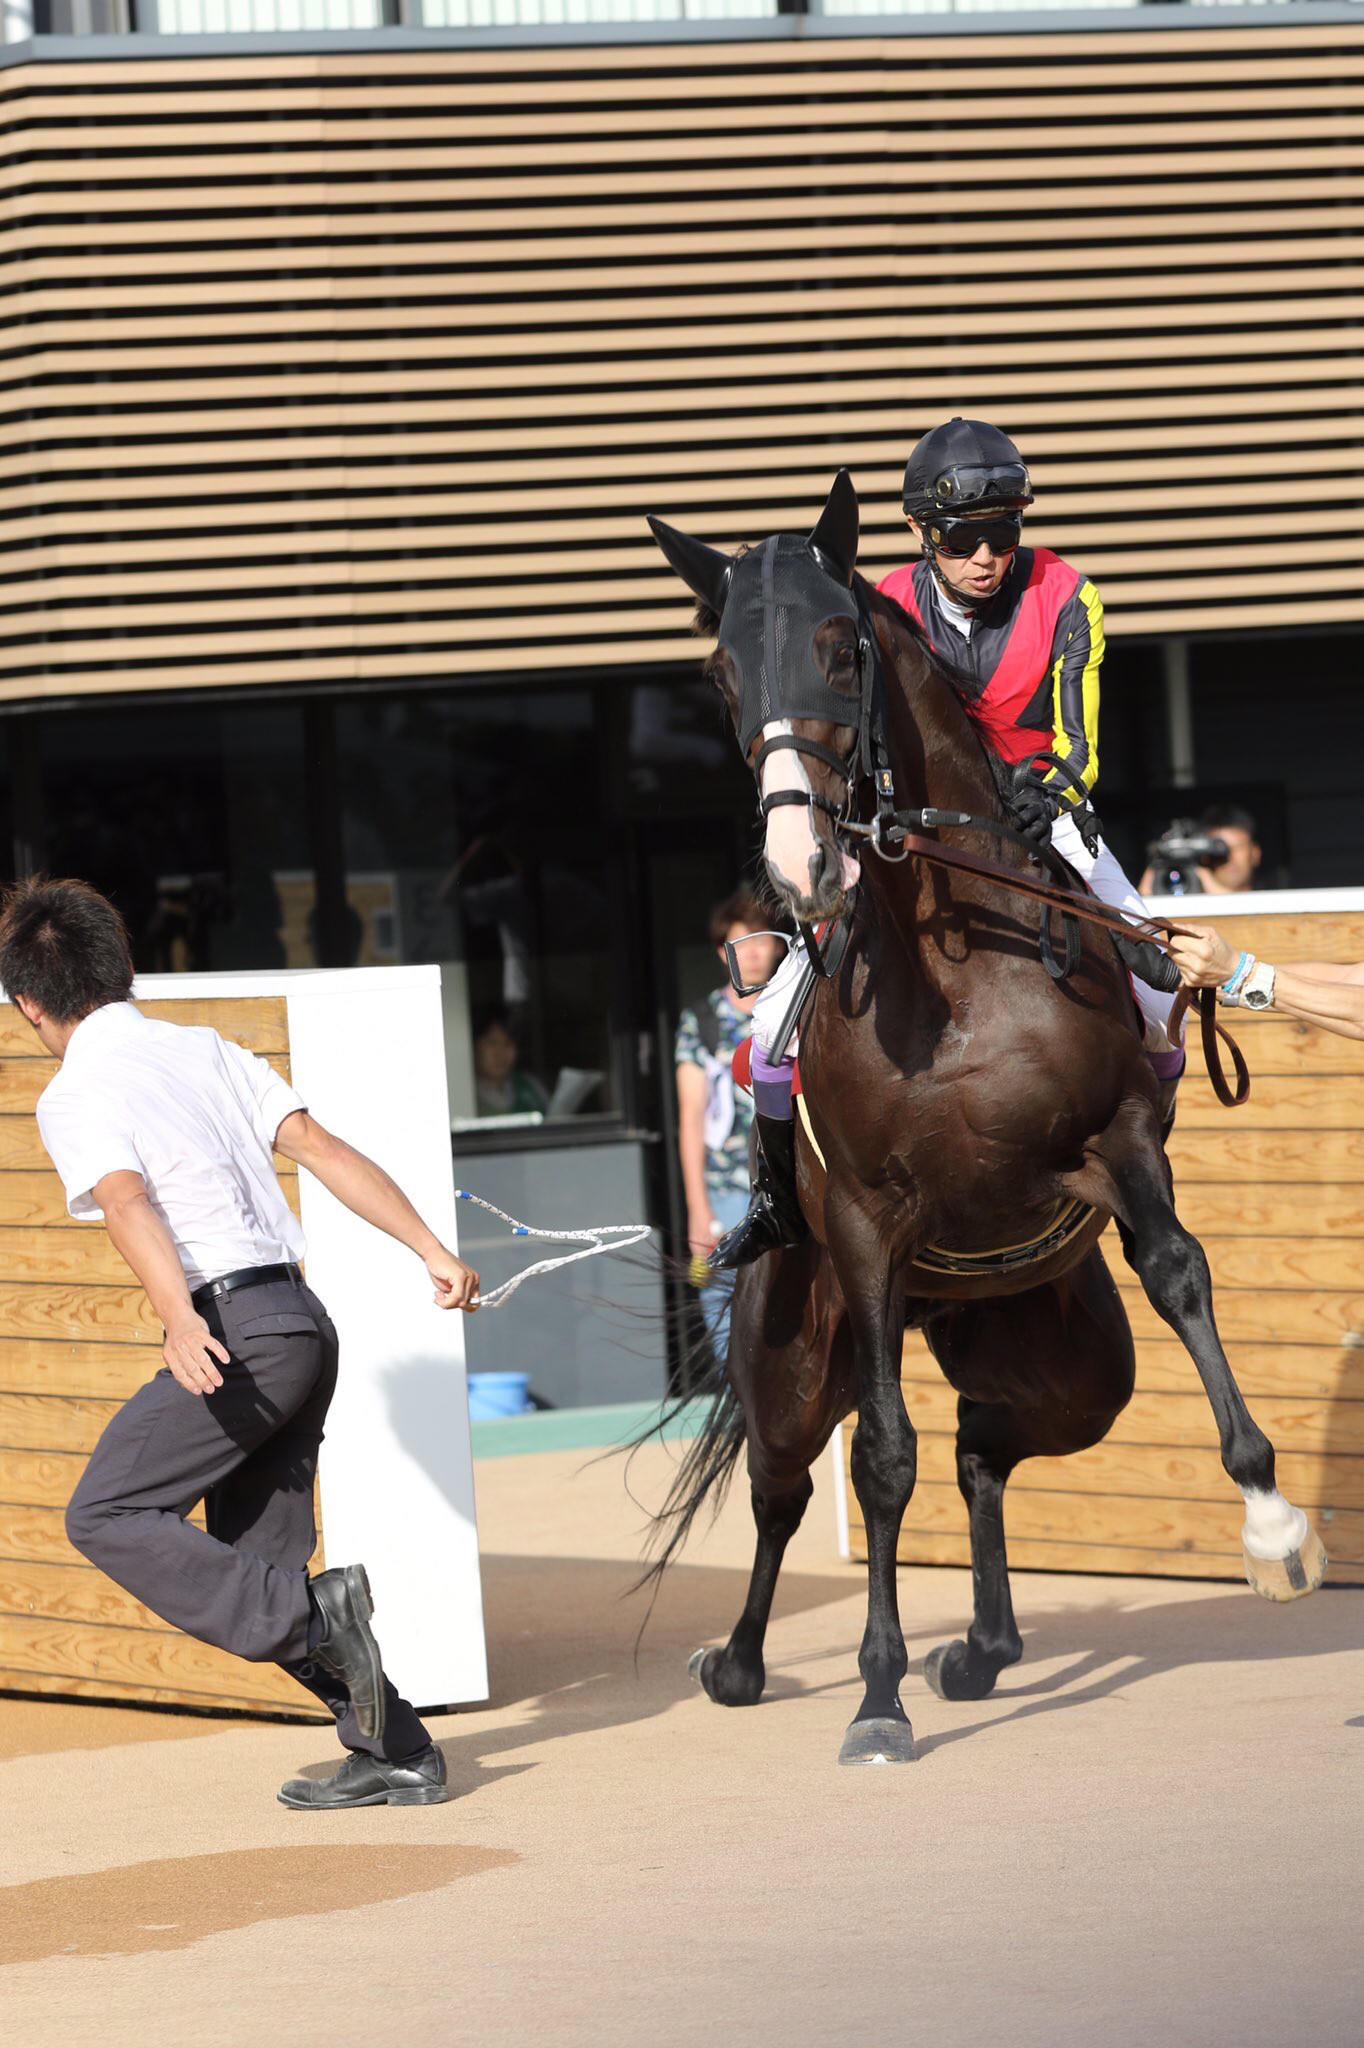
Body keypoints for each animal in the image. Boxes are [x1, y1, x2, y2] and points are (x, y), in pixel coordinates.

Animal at [645, 471, 1326, 1767]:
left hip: (1066, 1363)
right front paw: (874, 1695)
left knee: (980, 1444)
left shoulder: (1115, 1141)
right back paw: (742, 1658)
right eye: (717, 671)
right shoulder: (866, 1228)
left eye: (838, 648)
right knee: (785, 1487)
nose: (799, 863)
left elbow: (1178, 1271)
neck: (956, 965)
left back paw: (983, 1642)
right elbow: (879, 1458)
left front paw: (1271, 1523)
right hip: (792, 1355)